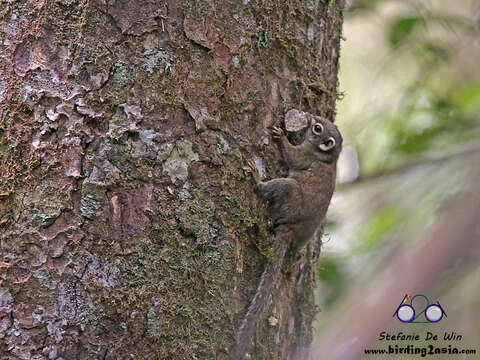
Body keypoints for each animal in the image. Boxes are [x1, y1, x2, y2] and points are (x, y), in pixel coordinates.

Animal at [231, 114, 344, 360]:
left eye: (317, 128)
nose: (312, 117)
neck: (329, 157)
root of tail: (292, 230)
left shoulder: (305, 155)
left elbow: (292, 156)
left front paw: (281, 135)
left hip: (287, 188)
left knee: (269, 189)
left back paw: (256, 179)